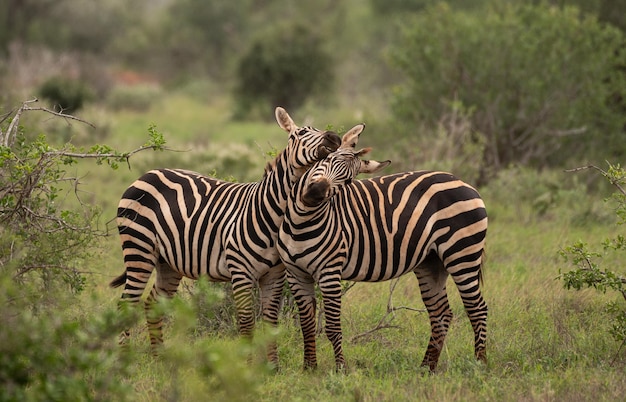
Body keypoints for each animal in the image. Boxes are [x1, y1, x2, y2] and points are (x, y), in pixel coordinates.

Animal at [108, 107, 342, 364]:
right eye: (298, 134)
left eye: (321, 130)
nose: (333, 137)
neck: (271, 213)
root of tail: (147, 173)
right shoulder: (241, 273)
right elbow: (247, 324)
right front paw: (249, 366)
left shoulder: (274, 275)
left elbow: (270, 322)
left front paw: (273, 366)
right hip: (139, 249)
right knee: (125, 304)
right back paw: (123, 360)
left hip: (167, 262)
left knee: (152, 304)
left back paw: (160, 358)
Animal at [278, 127, 488, 372]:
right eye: (327, 160)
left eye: (348, 180)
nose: (315, 193)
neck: (300, 223)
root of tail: (464, 182)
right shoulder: (295, 274)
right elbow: (306, 325)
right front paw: (309, 368)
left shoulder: (329, 272)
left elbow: (332, 328)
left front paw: (340, 370)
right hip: (431, 262)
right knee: (441, 314)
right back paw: (426, 368)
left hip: (462, 254)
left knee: (477, 308)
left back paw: (480, 364)